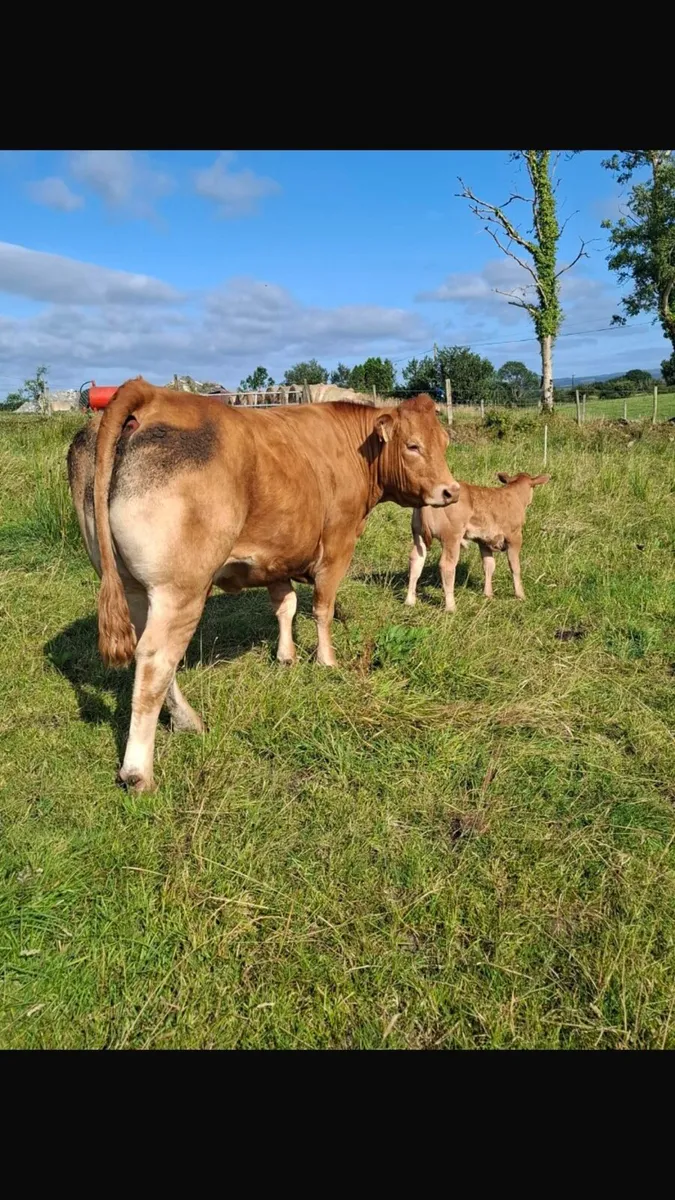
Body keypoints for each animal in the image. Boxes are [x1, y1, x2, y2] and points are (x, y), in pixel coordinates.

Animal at [67, 377, 459, 792]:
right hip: (180, 589)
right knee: (156, 660)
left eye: (443, 442)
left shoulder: (277, 554)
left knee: (150, 654)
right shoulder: (337, 544)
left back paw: (187, 720)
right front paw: (326, 660)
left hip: (135, 587)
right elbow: (322, 608)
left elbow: (285, 605)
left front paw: (286, 656)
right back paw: (139, 772)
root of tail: (148, 392)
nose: (450, 491)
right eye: (412, 445)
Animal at [404, 472, 550, 612]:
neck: (514, 495)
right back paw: (451, 607)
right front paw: (520, 595)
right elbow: (515, 566)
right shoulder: (514, 537)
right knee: (447, 565)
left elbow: (489, 565)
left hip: (418, 533)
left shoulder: (484, 541)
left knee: (416, 560)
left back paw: (410, 601)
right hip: (451, 536)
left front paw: (488, 594)